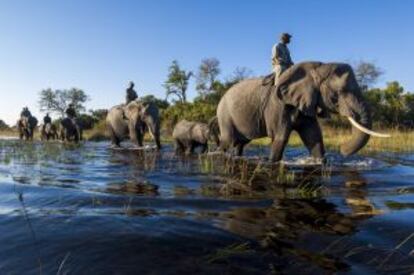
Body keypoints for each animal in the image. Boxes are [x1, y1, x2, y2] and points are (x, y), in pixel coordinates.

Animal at [217, 61, 388, 162]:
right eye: (337, 94)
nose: (341, 149)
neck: (316, 68)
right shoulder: (277, 104)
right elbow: (280, 138)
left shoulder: (307, 103)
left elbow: (314, 138)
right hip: (224, 114)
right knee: (228, 140)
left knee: (240, 143)